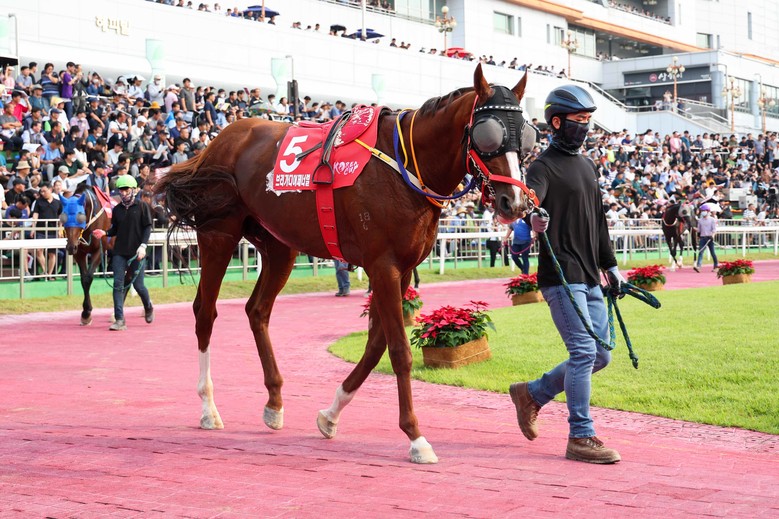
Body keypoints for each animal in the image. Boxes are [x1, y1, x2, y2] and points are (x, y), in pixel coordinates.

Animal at [61, 184, 114, 325]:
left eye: (80, 217)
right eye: (63, 218)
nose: (70, 247)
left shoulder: (99, 250)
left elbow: (89, 277)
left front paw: (86, 313)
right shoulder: (79, 252)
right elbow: (84, 279)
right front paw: (86, 313)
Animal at [153, 64, 537, 464]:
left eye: (526, 136)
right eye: (489, 134)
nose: (515, 202)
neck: (406, 167)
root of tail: (220, 141)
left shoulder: (402, 269)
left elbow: (376, 345)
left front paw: (331, 414)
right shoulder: (383, 265)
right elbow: (399, 351)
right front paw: (416, 437)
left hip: (279, 246)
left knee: (257, 310)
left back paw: (274, 402)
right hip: (219, 235)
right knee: (205, 312)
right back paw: (208, 408)